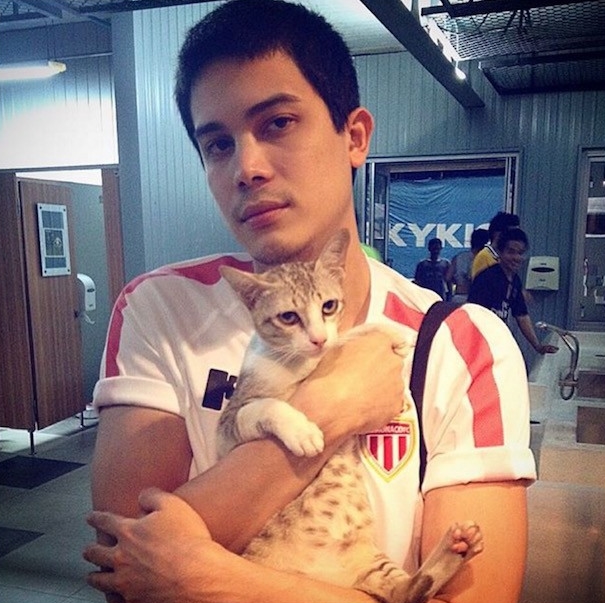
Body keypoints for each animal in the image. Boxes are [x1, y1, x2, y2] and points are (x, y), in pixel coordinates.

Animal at [217, 229, 483, 603]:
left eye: (328, 306)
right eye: (288, 317)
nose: (317, 339)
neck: (303, 364)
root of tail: (330, 578)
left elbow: (344, 338)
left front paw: (386, 333)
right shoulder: (229, 427)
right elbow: (267, 406)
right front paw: (302, 432)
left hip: (373, 562)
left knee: (406, 592)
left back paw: (453, 551)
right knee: (405, 595)